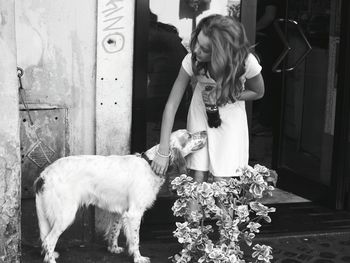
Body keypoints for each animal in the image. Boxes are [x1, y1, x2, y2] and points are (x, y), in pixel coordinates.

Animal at [34, 130, 206, 263]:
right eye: (188, 135)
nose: (205, 131)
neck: (150, 164)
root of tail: (44, 175)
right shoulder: (134, 213)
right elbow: (135, 240)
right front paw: (138, 258)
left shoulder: (120, 210)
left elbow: (114, 231)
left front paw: (113, 248)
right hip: (66, 214)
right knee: (49, 240)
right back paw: (51, 259)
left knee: (46, 240)